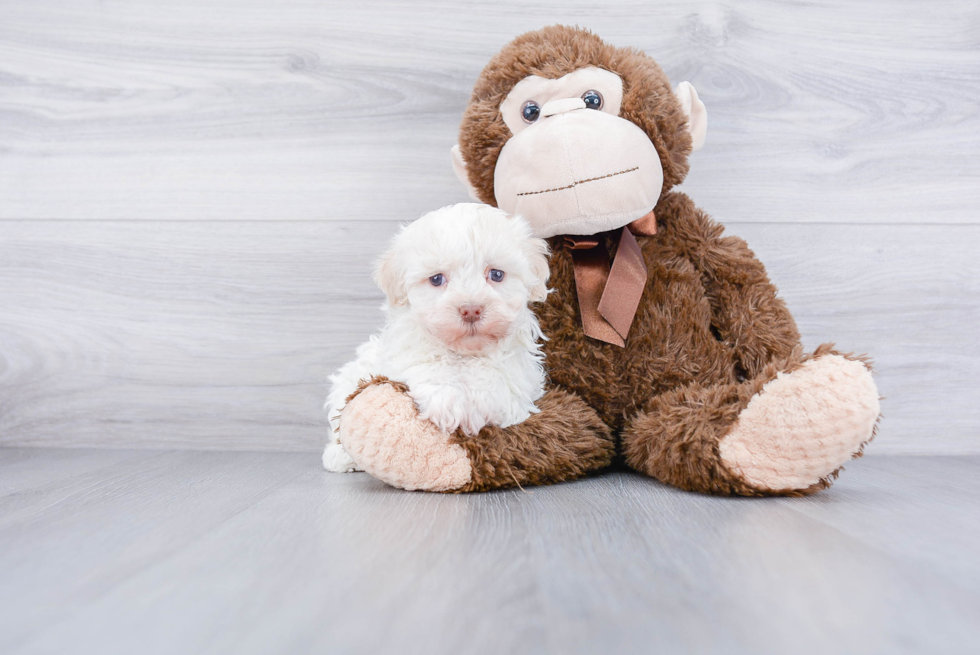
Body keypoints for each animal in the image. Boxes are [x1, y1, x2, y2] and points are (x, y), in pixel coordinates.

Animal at [324, 204, 548, 472]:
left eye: (496, 274)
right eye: (436, 279)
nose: (471, 309)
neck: (464, 353)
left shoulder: (517, 372)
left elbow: (495, 380)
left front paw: (475, 406)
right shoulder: (407, 351)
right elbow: (430, 366)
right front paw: (449, 403)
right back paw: (340, 456)